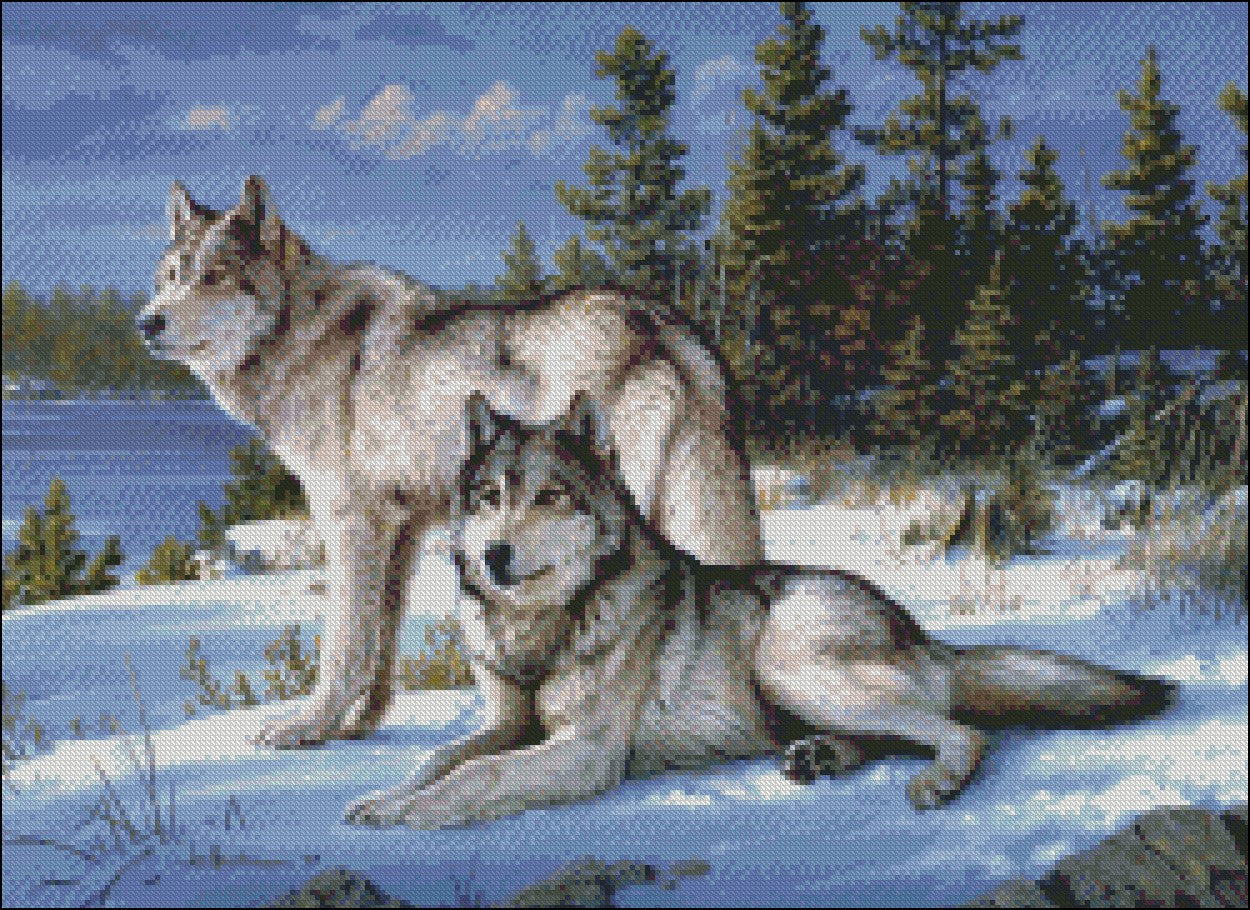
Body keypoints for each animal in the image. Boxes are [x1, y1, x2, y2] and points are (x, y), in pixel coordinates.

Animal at [138, 176, 762, 749]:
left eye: (213, 276)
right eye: (170, 276)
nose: (147, 322)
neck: (301, 337)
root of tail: (668, 327)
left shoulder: (350, 524)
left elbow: (343, 645)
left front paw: (307, 727)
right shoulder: (402, 530)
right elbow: (382, 643)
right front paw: (360, 725)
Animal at [342, 394, 1173, 828]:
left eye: (550, 497)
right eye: (489, 498)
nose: (494, 556)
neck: (539, 628)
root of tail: (921, 631)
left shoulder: (585, 751)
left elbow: (477, 778)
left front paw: (405, 815)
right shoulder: (505, 724)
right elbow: (439, 760)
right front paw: (381, 798)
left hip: (787, 663)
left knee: (962, 732)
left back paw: (935, 782)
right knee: (892, 735)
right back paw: (820, 759)